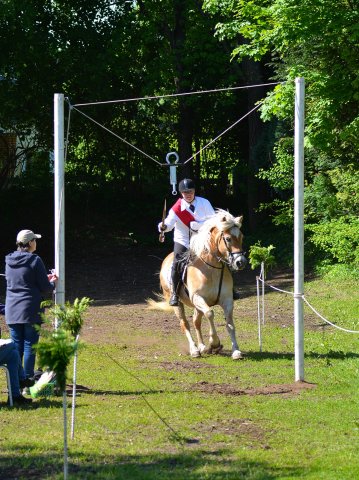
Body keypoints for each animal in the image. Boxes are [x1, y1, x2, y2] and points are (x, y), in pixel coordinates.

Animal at [149, 210, 248, 360]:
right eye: (228, 239)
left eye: (241, 237)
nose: (240, 262)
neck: (211, 269)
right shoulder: (198, 298)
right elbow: (210, 313)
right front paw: (214, 342)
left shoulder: (227, 300)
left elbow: (230, 323)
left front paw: (236, 351)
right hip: (179, 304)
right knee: (185, 324)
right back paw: (195, 350)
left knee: (196, 321)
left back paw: (202, 346)